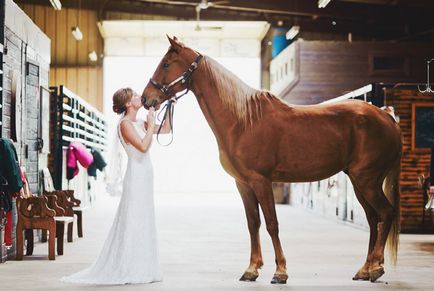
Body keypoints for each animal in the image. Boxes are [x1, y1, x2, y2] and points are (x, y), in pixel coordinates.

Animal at [142, 36, 400, 286]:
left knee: (386, 213)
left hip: (367, 181)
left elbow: (271, 224)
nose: (146, 99)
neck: (243, 120)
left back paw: (376, 268)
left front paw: (280, 272)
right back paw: (364, 270)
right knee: (373, 219)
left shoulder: (261, 181)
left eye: (166, 64)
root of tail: (387, 117)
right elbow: (253, 224)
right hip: (359, 182)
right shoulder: (243, 184)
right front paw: (251, 269)